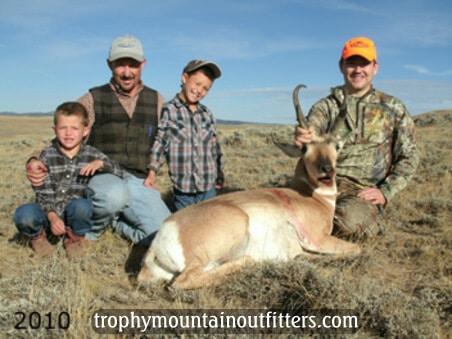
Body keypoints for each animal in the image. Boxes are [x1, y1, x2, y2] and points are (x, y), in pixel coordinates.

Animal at [138, 84, 360, 290]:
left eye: (337, 146)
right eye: (305, 148)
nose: (326, 170)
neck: (310, 197)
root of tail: (162, 236)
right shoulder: (318, 238)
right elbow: (357, 249)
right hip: (233, 228)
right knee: (184, 280)